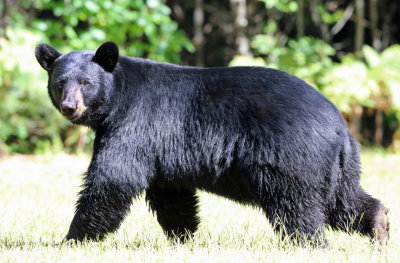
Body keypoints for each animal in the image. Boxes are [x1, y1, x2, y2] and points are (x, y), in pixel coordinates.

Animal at [35, 41, 388, 248]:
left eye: (85, 83)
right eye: (59, 82)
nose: (70, 107)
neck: (117, 98)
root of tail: (339, 125)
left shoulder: (136, 124)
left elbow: (114, 179)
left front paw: (71, 239)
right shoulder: (163, 146)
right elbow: (171, 195)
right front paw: (183, 238)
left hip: (290, 158)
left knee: (298, 207)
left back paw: (308, 244)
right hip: (335, 166)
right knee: (342, 202)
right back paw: (379, 225)